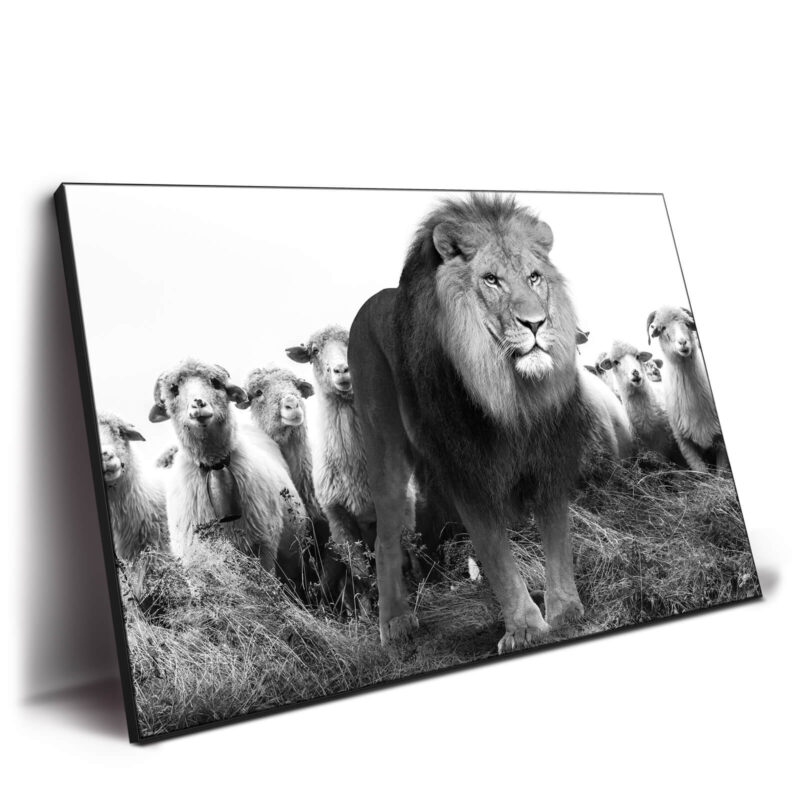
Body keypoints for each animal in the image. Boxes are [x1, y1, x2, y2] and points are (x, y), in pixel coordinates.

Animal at [148, 358, 309, 585]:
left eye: (215, 382)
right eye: (174, 389)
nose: (198, 403)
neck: (215, 466)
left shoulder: (264, 546)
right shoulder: (194, 563)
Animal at [349, 193, 589, 653]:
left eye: (534, 277)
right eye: (491, 280)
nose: (536, 323)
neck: (511, 394)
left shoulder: (548, 455)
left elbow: (558, 534)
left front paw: (566, 611)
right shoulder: (468, 472)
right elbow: (497, 553)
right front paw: (525, 628)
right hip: (384, 448)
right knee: (385, 536)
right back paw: (395, 623)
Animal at [646, 306, 728, 472]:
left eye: (687, 323)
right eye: (662, 328)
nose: (683, 342)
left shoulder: (720, 441)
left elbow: (721, 473)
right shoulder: (684, 443)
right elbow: (702, 472)